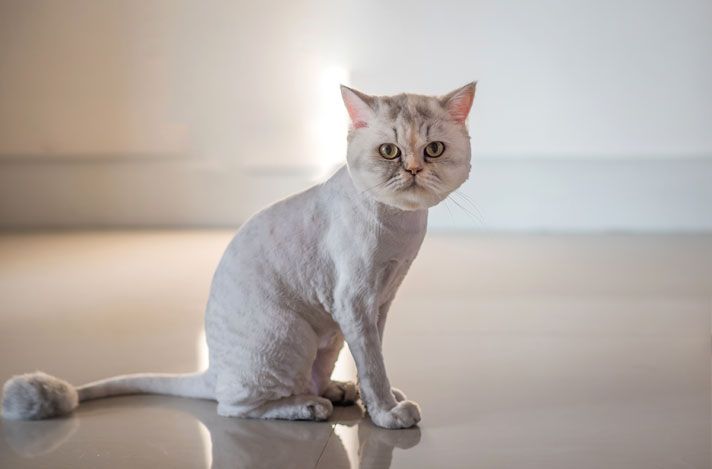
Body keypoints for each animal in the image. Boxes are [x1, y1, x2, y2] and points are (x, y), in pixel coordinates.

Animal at [2, 81, 478, 428]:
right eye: (389, 152)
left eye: (433, 150)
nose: (413, 169)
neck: (402, 226)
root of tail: (211, 368)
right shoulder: (356, 302)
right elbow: (374, 365)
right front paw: (387, 413)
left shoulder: (381, 301)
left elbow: (374, 359)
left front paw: (379, 398)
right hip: (293, 334)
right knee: (236, 406)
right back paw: (311, 407)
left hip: (328, 338)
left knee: (306, 380)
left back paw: (338, 391)